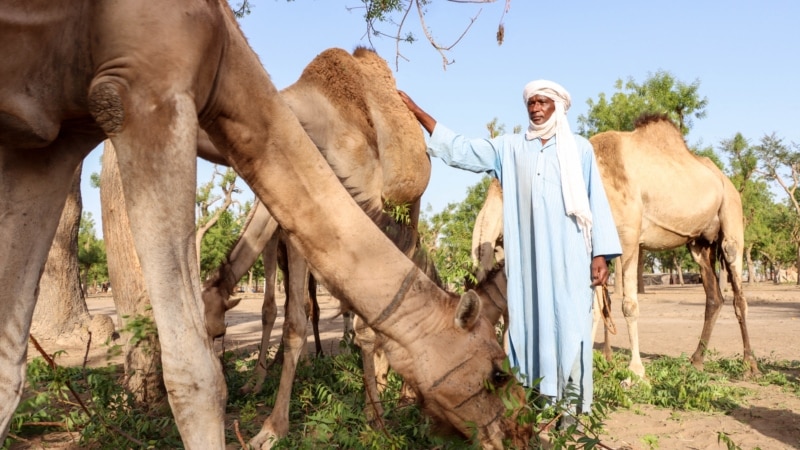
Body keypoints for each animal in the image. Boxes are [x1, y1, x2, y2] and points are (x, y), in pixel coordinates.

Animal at [0, 2, 532, 446]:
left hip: (406, 217)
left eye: (497, 372)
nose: (518, 426)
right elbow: (287, 314)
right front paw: (270, 411)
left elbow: (324, 321)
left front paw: (353, 419)